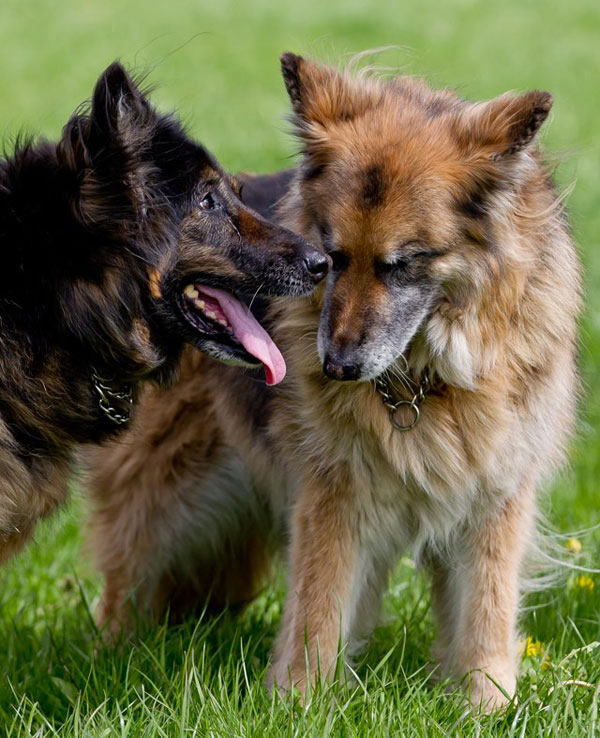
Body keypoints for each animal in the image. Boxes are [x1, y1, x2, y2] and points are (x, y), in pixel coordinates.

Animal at [85, 51, 580, 708]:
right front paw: (301, 701)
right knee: (127, 580)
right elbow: (319, 603)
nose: (337, 368)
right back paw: (114, 655)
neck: (422, 380)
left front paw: (485, 704)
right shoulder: (334, 493)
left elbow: (485, 608)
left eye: (402, 263)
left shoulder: (494, 496)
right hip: (167, 491)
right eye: (331, 257)